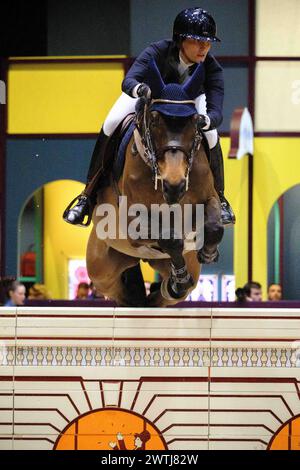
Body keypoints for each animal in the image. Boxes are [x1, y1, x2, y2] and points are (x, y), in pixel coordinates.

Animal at [86, 59, 223, 308]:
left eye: (195, 123)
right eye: (155, 120)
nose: (174, 185)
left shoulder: (208, 199)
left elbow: (214, 226)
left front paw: (208, 253)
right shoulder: (133, 221)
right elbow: (170, 238)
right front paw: (180, 277)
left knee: (167, 294)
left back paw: (167, 287)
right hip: (101, 268)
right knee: (121, 291)